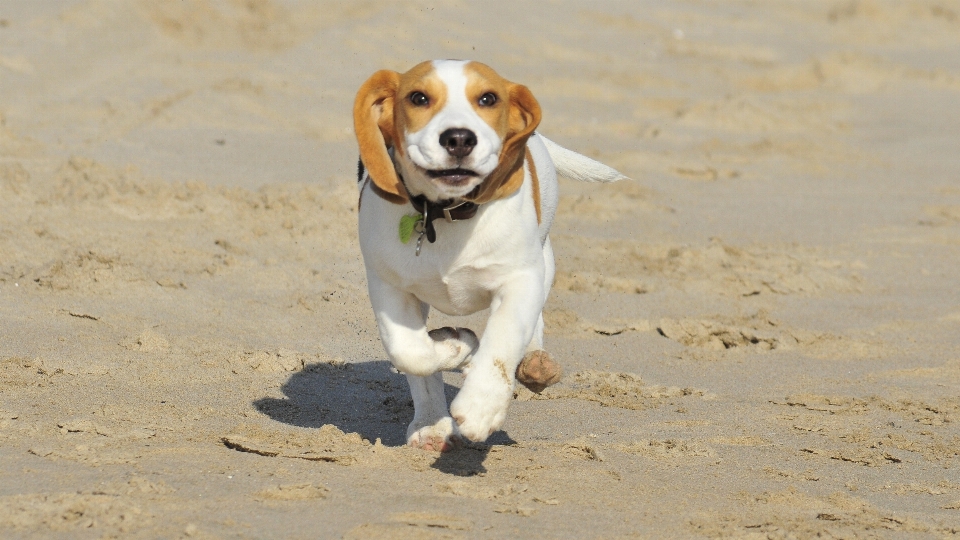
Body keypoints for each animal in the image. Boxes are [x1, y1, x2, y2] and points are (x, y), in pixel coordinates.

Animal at [352, 59, 624, 450]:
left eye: (488, 98)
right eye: (419, 98)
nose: (459, 139)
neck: (447, 215)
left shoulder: (520, 280)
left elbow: (503, 339)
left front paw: (482, 405)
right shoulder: (389, 286)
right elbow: (413, 354)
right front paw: (456, 347)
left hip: (543, 262)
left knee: (533, 325)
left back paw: (534, 363)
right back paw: (432, 423)